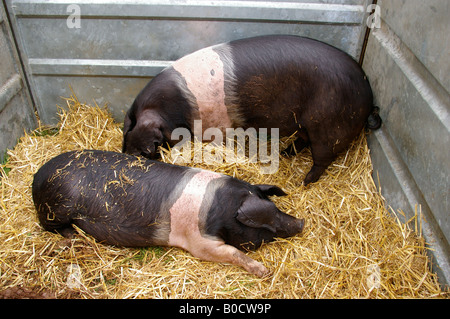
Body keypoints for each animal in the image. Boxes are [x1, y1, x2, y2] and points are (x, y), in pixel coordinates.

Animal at [32, 150, 306, 278]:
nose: (302, 222)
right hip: (57, 208)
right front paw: (264, 271)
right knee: (53, 227)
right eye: (265, 224)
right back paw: (76, 239)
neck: (221, 209)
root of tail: (36, 176)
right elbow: (233, 253)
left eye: (277, 207)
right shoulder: (199, 242)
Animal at [124, 34, 384, 185]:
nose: (127, 154)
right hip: (304, 123)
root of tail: (368, 96)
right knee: (303, 140)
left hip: (329, 126)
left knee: (323, 157)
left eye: (144, 150)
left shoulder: (218, 124)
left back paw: (304, 181)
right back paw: (285, 153)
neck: (177, 106)